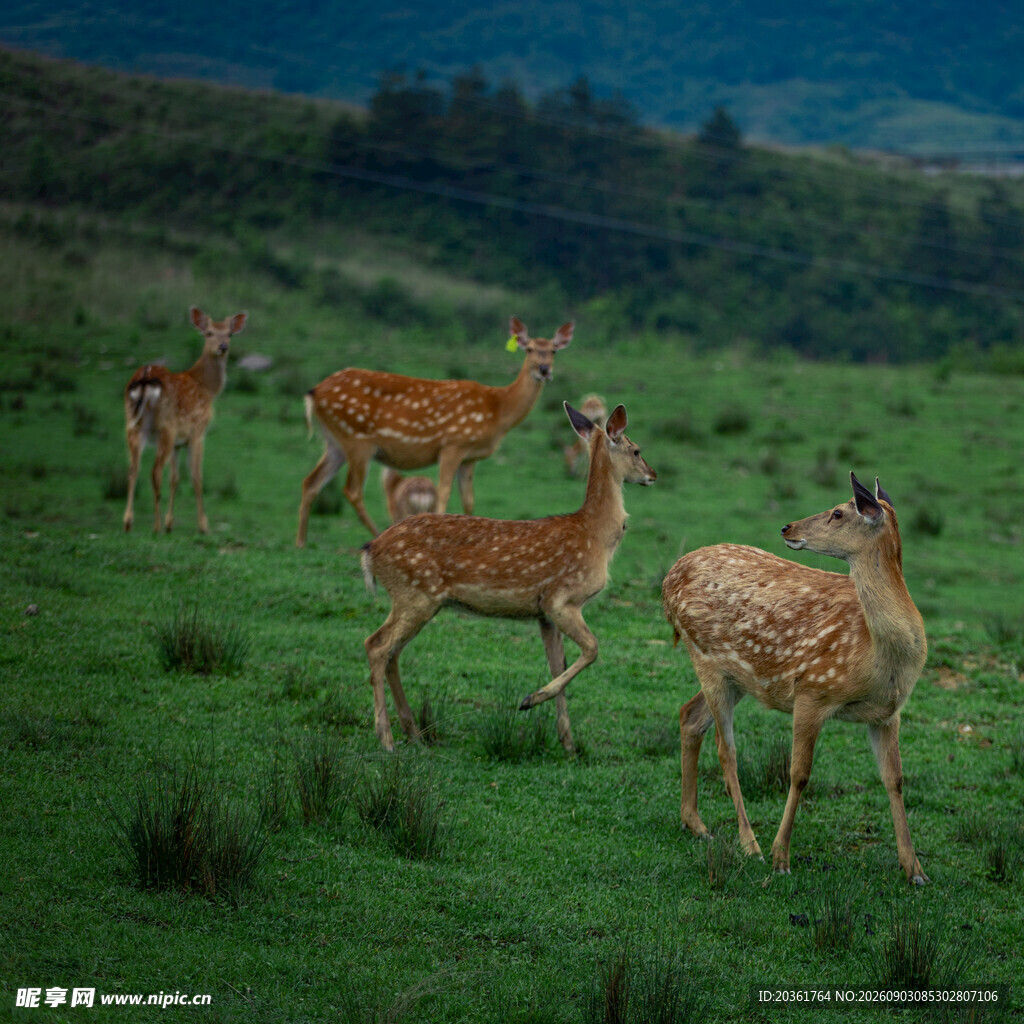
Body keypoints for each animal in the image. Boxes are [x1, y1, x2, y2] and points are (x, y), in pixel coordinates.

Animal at [123, 306, 248, 534]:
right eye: (208, 333)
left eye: (229, 334)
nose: (223, 347)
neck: (206, 387)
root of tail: (145, 376)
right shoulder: (198, 430)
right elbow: (196, 476)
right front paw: (204, 525)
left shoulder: (178, 443)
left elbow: (175, 478)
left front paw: (170, 524)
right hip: (166, 427)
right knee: (154, 471)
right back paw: (155, 526)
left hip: (134, 424)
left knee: (133, 467)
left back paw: (128, 522)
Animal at [296, 316, 573, 545]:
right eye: (529, 349)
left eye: (554, 350)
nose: (544, 369)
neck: (498, 411)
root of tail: (313, 392)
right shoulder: (453, 444)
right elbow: (443, 493)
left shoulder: (470, 457)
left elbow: (469, 500)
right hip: (357, 438)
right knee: (352, 490)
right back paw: (375, 535)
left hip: (335, 441)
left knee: (311, 481)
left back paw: (301, 542)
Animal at [361, 401, 656, 753]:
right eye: (637, 450)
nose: (653, 475)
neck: (595, 536)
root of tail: (370, 550)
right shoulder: (560, 598)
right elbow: (593, 648)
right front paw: (531, 699)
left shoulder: (544, 614)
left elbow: (557, 662)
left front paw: (568, 742)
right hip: (415, 593)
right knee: (377, 645)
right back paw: (386, 738)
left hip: (418, 599)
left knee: (392, 652)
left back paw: (414, 733)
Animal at [661, 473, 928, 884]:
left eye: (838, 512)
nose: (788, 527)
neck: (877, 657)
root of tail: (668, 577)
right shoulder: (812, 691)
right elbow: (799, 774)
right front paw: (780, 857)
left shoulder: (888, 713)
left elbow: (895, 779)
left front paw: (914, 869)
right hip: (704, 655)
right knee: (726, 750)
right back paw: (750, 844)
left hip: (736, 676)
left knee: (689, 716)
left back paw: (696, 824)